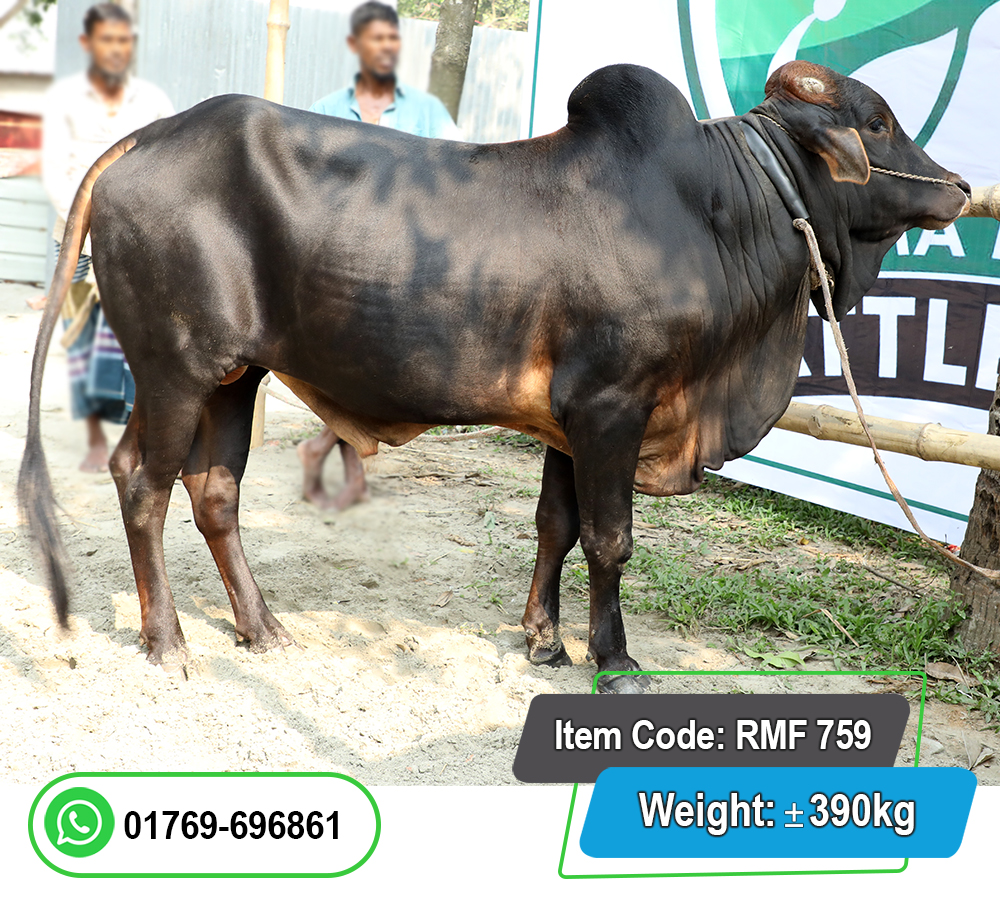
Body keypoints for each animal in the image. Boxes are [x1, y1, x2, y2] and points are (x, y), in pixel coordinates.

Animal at [20, 61, 970, 692]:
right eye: (877, 122)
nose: (960, 187)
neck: (721, 213)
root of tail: (146, 137)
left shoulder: (570, 421)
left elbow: (558, 525)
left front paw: (545, 641)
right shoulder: (612, 408)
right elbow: (611, 539)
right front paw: (614, 661)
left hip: (234, 376)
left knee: (213, 491)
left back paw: (262, 628)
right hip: (174, 368)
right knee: (142, 482)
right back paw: (168, 640)